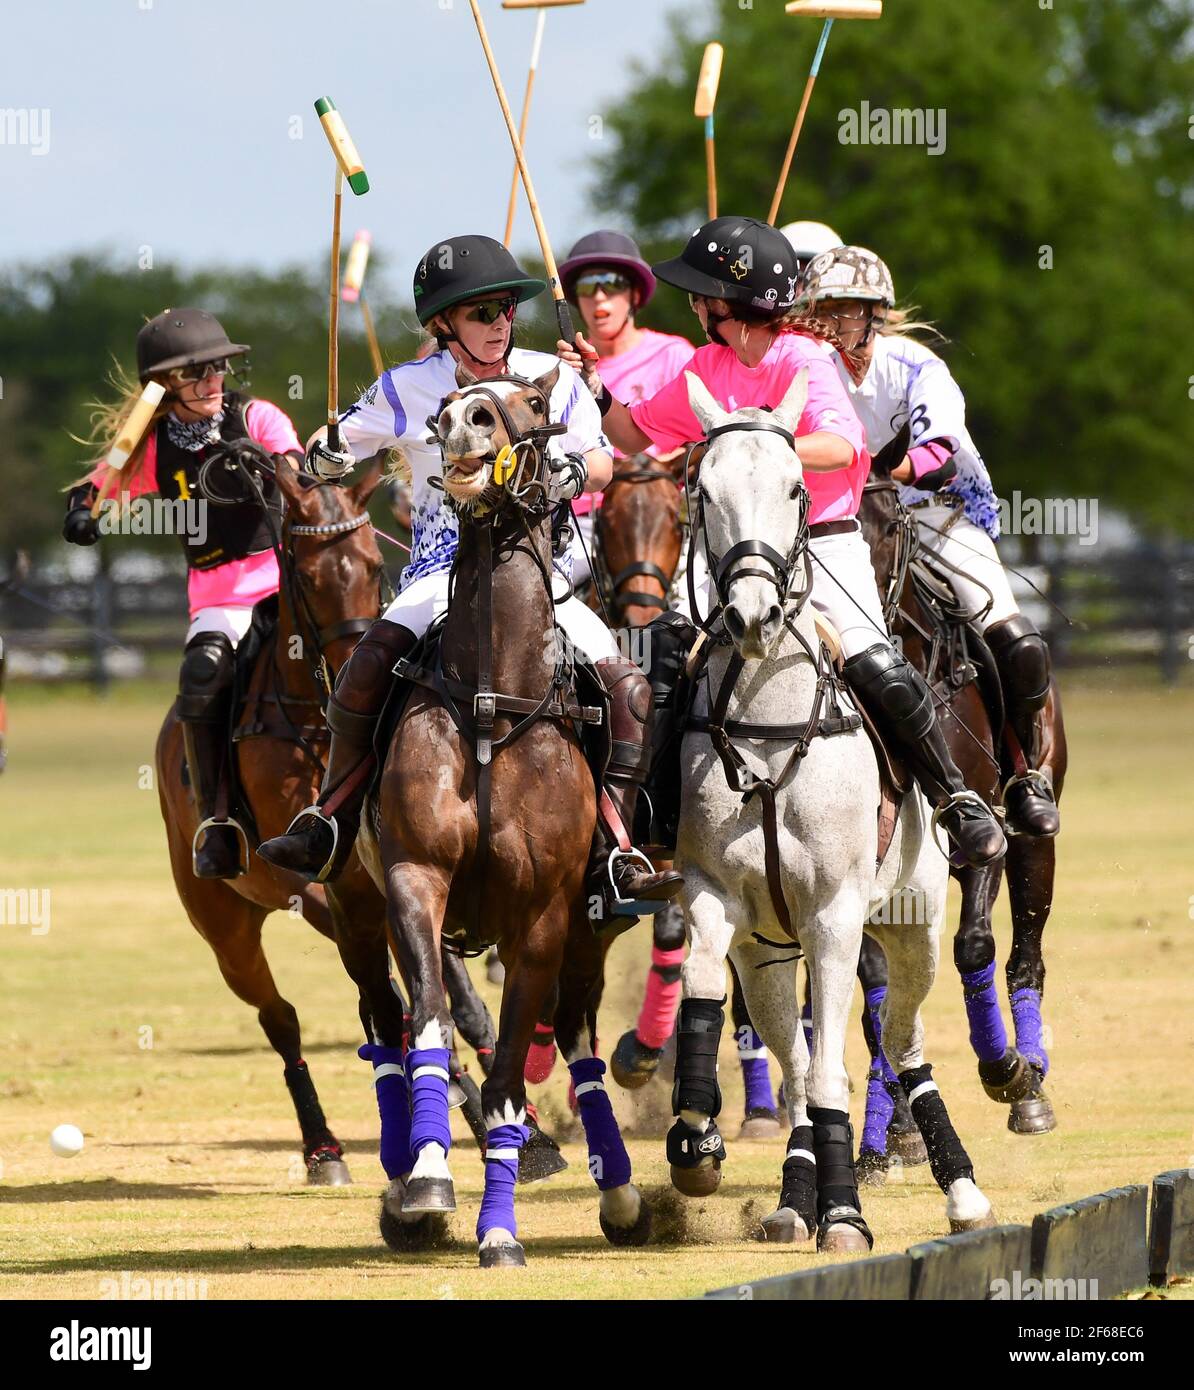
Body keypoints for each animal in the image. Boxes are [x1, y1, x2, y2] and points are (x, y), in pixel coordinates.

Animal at [156, 444, 503, 1195]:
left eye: (373, 564)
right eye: (309, 577)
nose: (355, 678)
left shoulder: (397, 872)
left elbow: (452, 998)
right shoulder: (339, 880)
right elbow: (408, 1002)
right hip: (224, 920)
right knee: (281, 1018)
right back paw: (324, 1147)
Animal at [358, 366, 653, 1273]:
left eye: (532, 405)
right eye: (440, 411)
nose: (465, 419)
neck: (494, 697)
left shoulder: (545, 918)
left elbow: (507, 1087)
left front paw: (500, 1231)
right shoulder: (414, 880)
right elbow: (430, 1023)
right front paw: (425, 1181)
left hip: (592, 928)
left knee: (583, 1042)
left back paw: (621, 1192)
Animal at [667, 366, 995, 1251]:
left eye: (794, 487)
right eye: (703, 490)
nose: (750, 617)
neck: (769, 725)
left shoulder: (837, 915)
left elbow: (834, 1070)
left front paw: (846, 1213)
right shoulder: (717, 899)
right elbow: (707, 992)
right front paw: (695, 1140)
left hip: (913, 924)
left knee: (905, 1042)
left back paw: (960, 1188)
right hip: (770, 954)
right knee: (791, 1058)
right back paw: (792, 1198)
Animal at [861, 439, 1067, 1134]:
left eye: (891, 526)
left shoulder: (983, 838)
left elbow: (974, 944)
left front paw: (1006, 1072)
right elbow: (877, 984)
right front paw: (896, 1131)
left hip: (1032, 835)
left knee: (1026, 949)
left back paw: (1031, 1086)